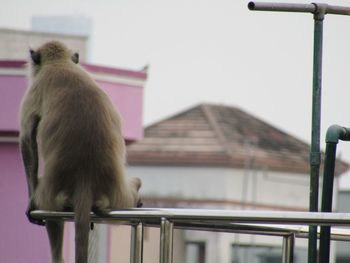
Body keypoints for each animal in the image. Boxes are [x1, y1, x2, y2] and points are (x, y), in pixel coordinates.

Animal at [19, 41, 142, 263]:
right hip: (119, 194)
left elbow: (26, 140)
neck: (60, 63)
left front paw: (30, 203)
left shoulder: (34, 89)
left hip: (53, 194)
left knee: (52, 215)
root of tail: (86, 178)